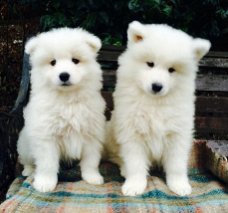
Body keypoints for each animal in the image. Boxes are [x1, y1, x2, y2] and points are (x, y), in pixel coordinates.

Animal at [17, 27, 106, 193]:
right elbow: (47, 163)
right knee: (27, 160)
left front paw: (92, 177)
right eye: (53, 62)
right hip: (25, 145)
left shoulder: (91, 134)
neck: (67, 100)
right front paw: (45, 183)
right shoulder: (47, 137)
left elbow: (90, 160)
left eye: (75, 61)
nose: (64, 75)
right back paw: (28, 171)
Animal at [106, 21, 211, 196]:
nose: (157, 86)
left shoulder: (178, 134)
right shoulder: (132, 132)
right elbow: (135, 163)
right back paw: (124, 170)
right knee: (117, 157)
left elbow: (176, 164)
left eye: (171, 70)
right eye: (150, 64)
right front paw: (134, 185)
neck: (155, 103)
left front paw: (179, 185)